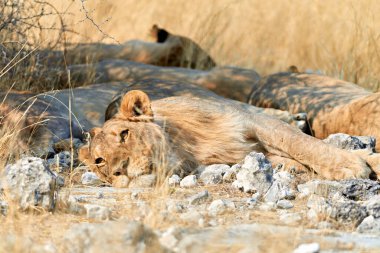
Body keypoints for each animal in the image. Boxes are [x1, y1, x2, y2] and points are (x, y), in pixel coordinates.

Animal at [78, 88, 376, 189]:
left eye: (124, 134)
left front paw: (350, 165)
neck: (185, 149)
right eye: (100, 160)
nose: (120, 170)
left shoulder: (253, 121)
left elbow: (302, 143)